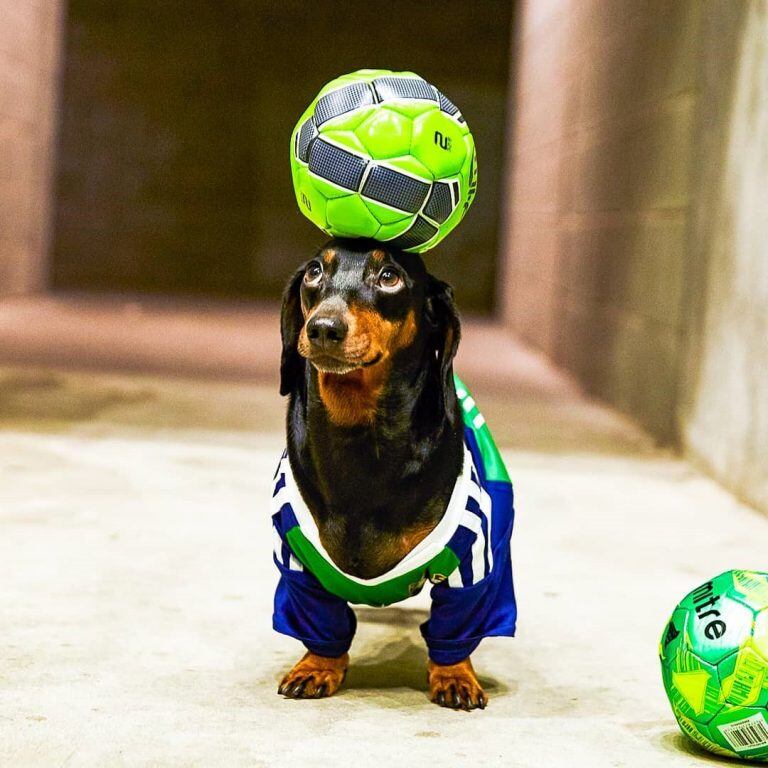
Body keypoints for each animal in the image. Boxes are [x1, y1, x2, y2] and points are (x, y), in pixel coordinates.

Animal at [270, 237, 516, 712]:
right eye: (314, 272)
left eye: (389, 277)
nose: (323, 328)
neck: (361, 440)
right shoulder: (296, 558)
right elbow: (320, 618)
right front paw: (317, 666)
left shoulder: (474, 559)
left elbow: (457, 621)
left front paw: (455, 675)